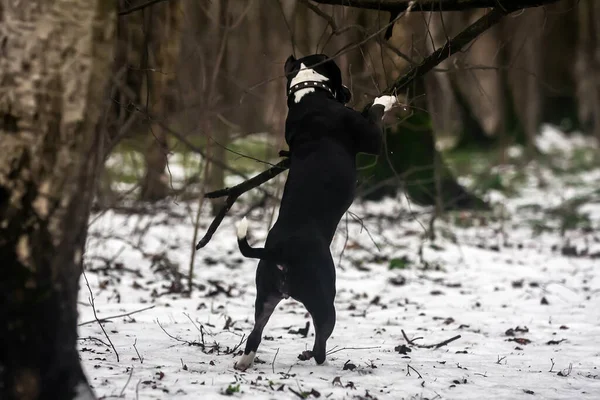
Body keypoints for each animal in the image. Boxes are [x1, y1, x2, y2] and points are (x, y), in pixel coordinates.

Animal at [232, 54, 396, 370]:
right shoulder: (371, 139)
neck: (308, 93)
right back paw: (313, 356)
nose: (349, 91)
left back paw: (244, 362)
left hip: (264, 297)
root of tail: (279, 253)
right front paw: (385, 98)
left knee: (255, 333)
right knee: (321, 342)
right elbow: (376, 112)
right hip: (324, 299)